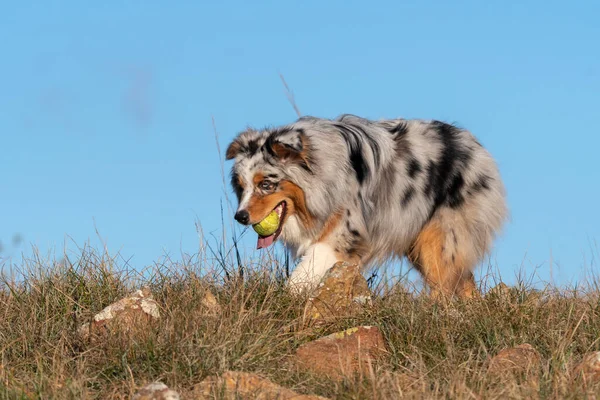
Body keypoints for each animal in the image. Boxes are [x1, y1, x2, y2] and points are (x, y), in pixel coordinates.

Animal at [225, 115, 506, 296]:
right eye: (241, 186)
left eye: (266, 185)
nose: (240, 216)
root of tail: (473, 145)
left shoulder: (344, 233)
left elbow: (303, 272)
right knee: (463, 282)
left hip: (440, 238)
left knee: (445, 283)